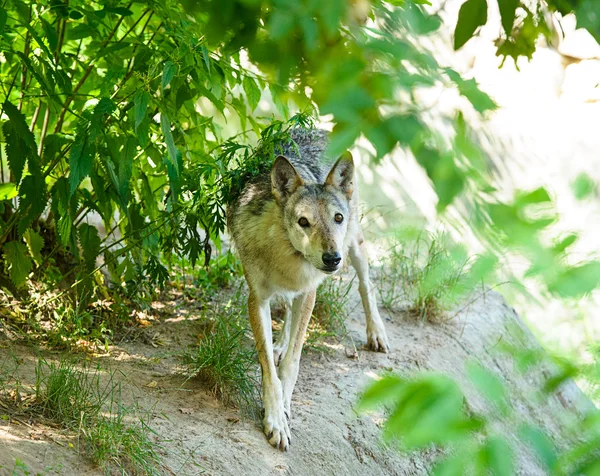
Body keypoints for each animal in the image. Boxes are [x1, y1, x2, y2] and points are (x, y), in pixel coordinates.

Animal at [226, 128, 390, 452]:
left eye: (337, 218)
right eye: (304, 222)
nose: (332, 259)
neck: (285, 252)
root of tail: (317, 129)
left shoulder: (309, 292)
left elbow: (292, 363)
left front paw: (284, 411)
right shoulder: (257, 299)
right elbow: (270, 370)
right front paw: (275, 419)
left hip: (355, 246)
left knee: (366, 285)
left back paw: (376, 333)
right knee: (288, 312)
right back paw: (279, 345)